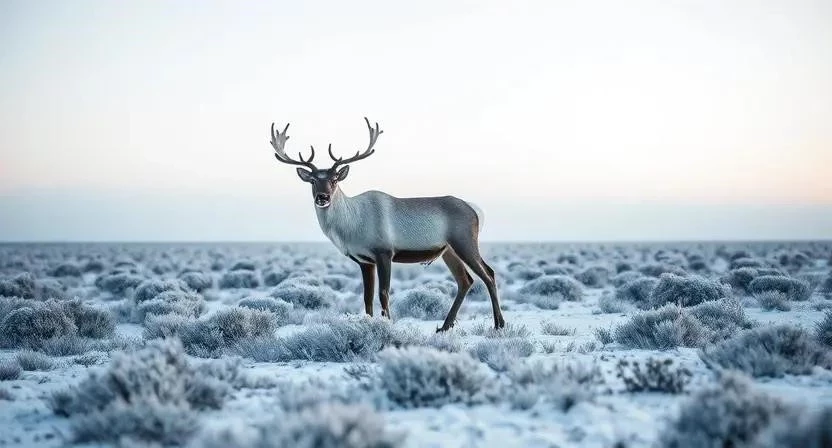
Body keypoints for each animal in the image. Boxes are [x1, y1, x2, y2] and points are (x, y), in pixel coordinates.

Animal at [268, 117, 505, 331]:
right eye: (313, 180)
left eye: (334, 180)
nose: (322, 198)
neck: (351, 227)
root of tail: (476, 210)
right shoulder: (364, 261)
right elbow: (367, 297)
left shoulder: (384, 252)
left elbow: (383, 293)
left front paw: (388, 325)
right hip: (448, 251)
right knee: (465, 280)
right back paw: (445, 326)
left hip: (464, 241)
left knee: (488, 274)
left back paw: (499, 324)